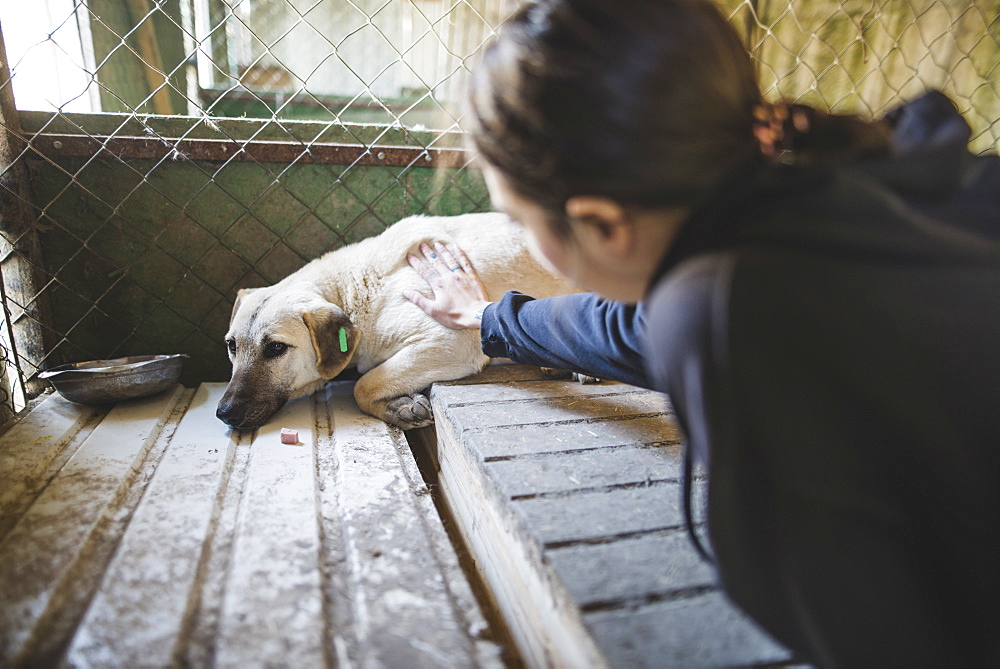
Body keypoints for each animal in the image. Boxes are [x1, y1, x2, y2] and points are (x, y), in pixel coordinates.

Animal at [219, 217, 580, 430]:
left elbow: (363, 385)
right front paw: (398, 407)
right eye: (231, 346)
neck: (356, 287)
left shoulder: (450, 341)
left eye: (276, 348)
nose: (224, 413)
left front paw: (396, 406)